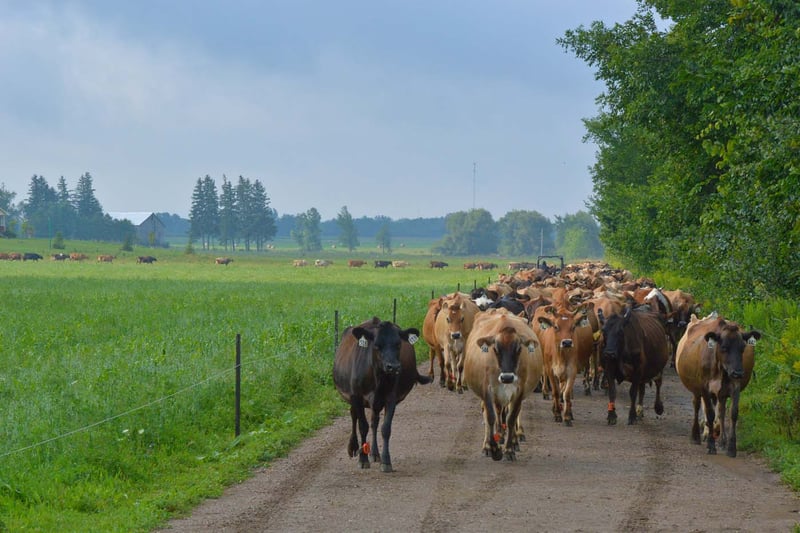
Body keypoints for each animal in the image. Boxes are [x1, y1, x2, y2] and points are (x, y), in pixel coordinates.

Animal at [332, 316, 432, 470]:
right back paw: (353, 447)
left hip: (377, 402)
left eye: (398, 344)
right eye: (377, 345)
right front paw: (363, 459)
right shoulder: (357, 396)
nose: (393, 367)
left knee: (374, 422)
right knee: (354, 416)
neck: (377, 377)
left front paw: (386, 461)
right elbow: (363, 426)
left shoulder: (391, 397)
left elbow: (385, 428)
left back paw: (375, 453)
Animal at [462, 310, 544, 460]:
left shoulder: (519, 392)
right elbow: (490, 417)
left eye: (519, 349)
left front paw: (509, 449)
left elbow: (511, 418)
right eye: (496, 349)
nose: (507, 377)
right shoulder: (487, 390)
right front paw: (492, 447)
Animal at [676, 312, 764, 458]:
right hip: (696, 388)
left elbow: (733, 413)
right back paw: (695, 436)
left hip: (721, 392)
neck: (720, 369)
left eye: (742, 348)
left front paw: (731, 448)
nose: (738, 372)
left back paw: (722, 441)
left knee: (721, 411)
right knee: (696, 405)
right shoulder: (705, 388)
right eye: (724, 348)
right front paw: (711, 445)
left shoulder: (735, 387)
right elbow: (710, 414)